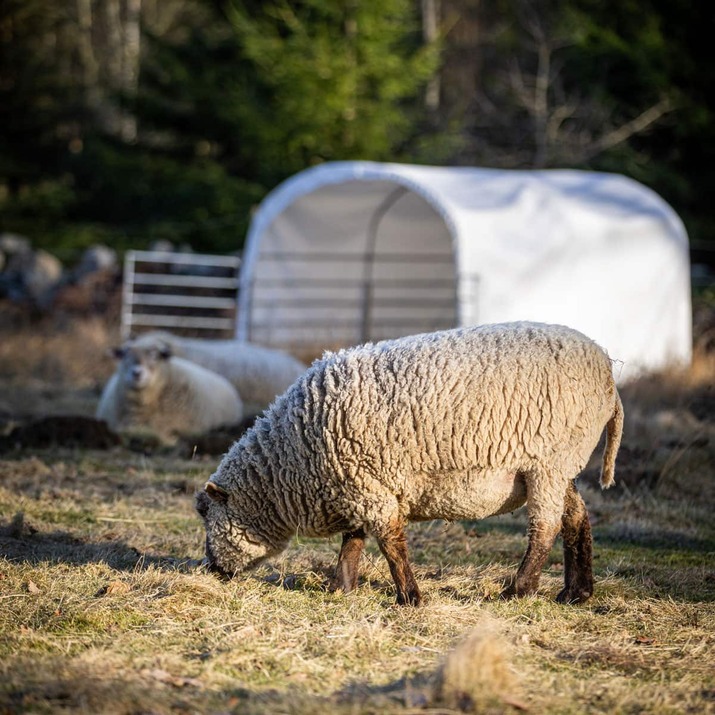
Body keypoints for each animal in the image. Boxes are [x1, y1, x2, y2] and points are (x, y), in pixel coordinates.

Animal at [195, 321, 623, 606]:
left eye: (205, 515)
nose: (211, 569)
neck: (289, 462)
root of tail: (607, 372)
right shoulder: (360, 483)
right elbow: (354, 540)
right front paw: (341, 588)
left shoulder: (366, 486)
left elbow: (390, 544)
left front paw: (410, 598)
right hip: (560, 464)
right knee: (576, 517)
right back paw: (576, 592)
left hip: (547, 462)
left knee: (546, 526)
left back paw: (518, 590)